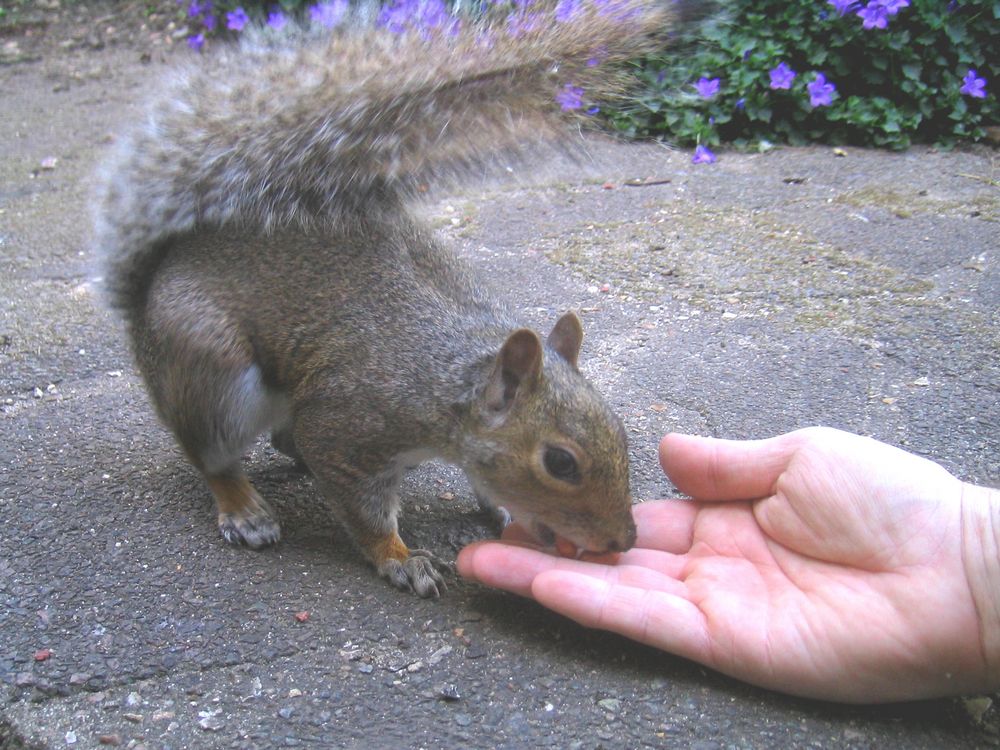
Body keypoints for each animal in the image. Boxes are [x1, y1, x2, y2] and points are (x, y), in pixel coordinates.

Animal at [95, 0, 672, 600]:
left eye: (621, 433)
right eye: (560, 463)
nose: (622, 541)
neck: (447, 384)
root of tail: (151, 287)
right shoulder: (348, 427)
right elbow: (363, 508)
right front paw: (400, 558)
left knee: (283, 437)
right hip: (214, 373)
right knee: (213, 454)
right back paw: (244, 509)